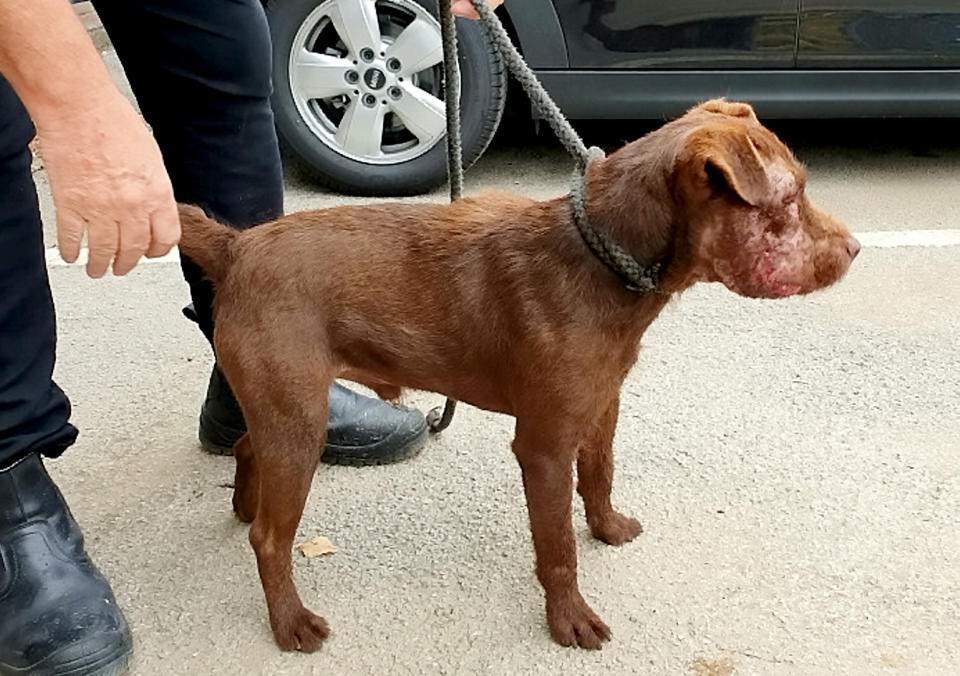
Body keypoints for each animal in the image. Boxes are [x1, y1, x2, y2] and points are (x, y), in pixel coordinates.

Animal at [176, 99, 860, 648]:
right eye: (790, 198)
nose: (854, 249)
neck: (599, 258)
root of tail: (236, 247)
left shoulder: (602, 403)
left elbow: (601, 475)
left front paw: (607, 527)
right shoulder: (544, 447)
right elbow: (557, 548)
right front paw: (569, 619)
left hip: (284, 410)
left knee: (246, 449)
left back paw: (243, 505)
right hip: (300, 424)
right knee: (271, 539)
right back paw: (289, 619)